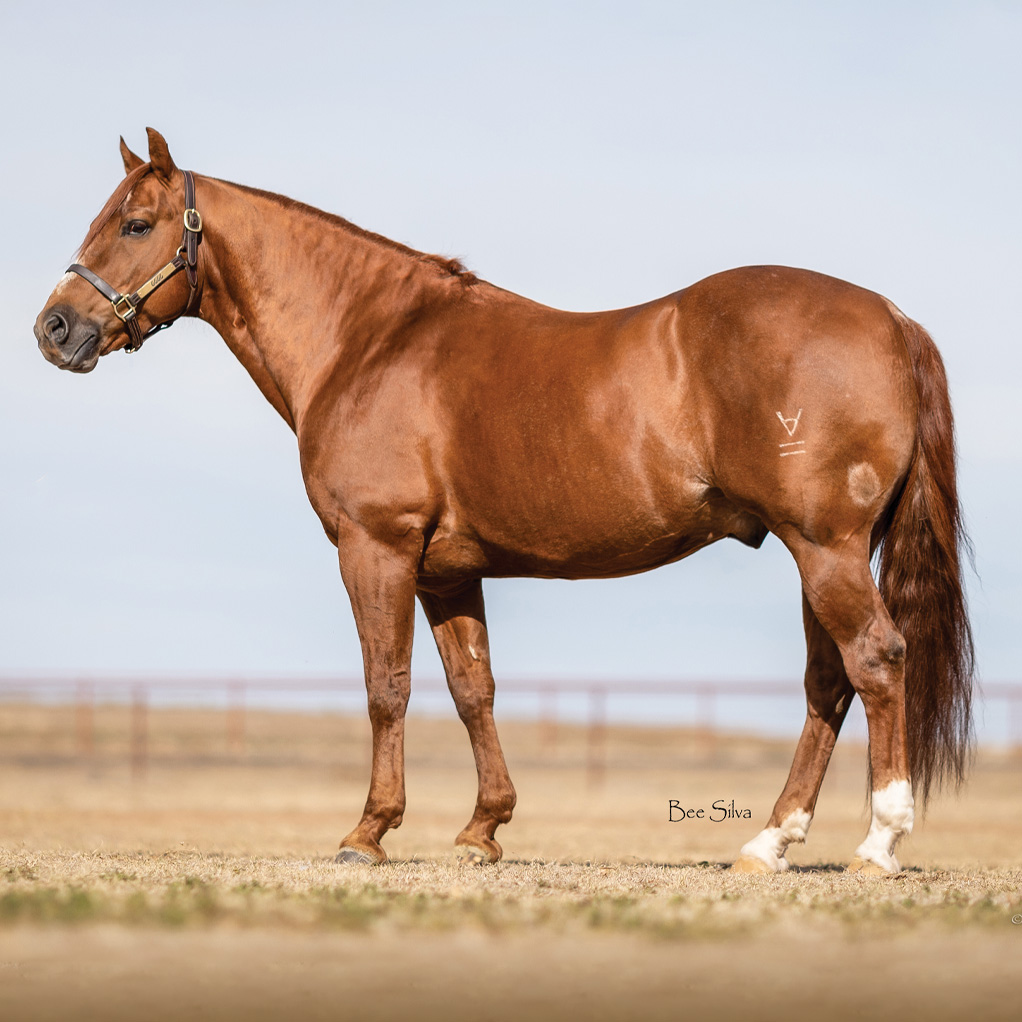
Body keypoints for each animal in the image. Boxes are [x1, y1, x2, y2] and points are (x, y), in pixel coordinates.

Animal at [34, 129, 973, 874]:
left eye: (135, 224)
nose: (54, 329)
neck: (371, 340)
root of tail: (890, 317)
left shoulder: (375, 549)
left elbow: (387, 686)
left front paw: (368, 833)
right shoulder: (446, 571)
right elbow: (471, 688)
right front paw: (482, 830)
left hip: (825, 545)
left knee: (875, 659)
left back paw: (879, 843)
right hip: (820, 550)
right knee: (829, 681)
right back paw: (768, 844)